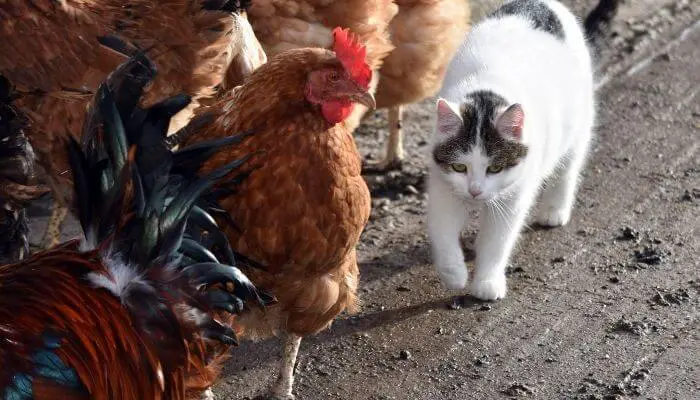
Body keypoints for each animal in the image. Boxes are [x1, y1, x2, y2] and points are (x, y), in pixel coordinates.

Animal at [426, 0, 596, 300]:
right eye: (459, 166)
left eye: (495, 167)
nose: (475, 191)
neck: (486, 93)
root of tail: (542, 3)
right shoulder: (443, 187)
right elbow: (444, 231)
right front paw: (454, 274)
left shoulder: (513, 197)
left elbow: (497, 242)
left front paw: (486, 282)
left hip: (578, 126)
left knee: (567, 169)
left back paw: (555, 209)